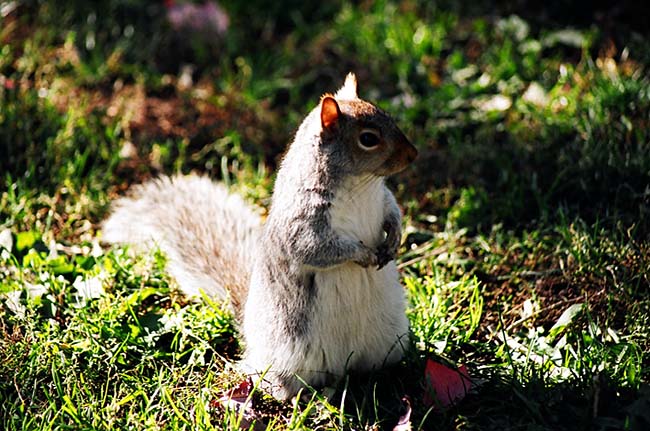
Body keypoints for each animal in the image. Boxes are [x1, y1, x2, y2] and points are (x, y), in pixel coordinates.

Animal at [101, 72, 416, 400]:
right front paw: (363, 254)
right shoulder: (303, 222)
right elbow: (316, 249)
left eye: (388, 117)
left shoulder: (381, 197)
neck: (360, 184)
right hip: (291, 355)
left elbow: (392, 210)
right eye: (368, 139)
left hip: (390, 338)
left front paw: (394, 238)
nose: (413, 154)